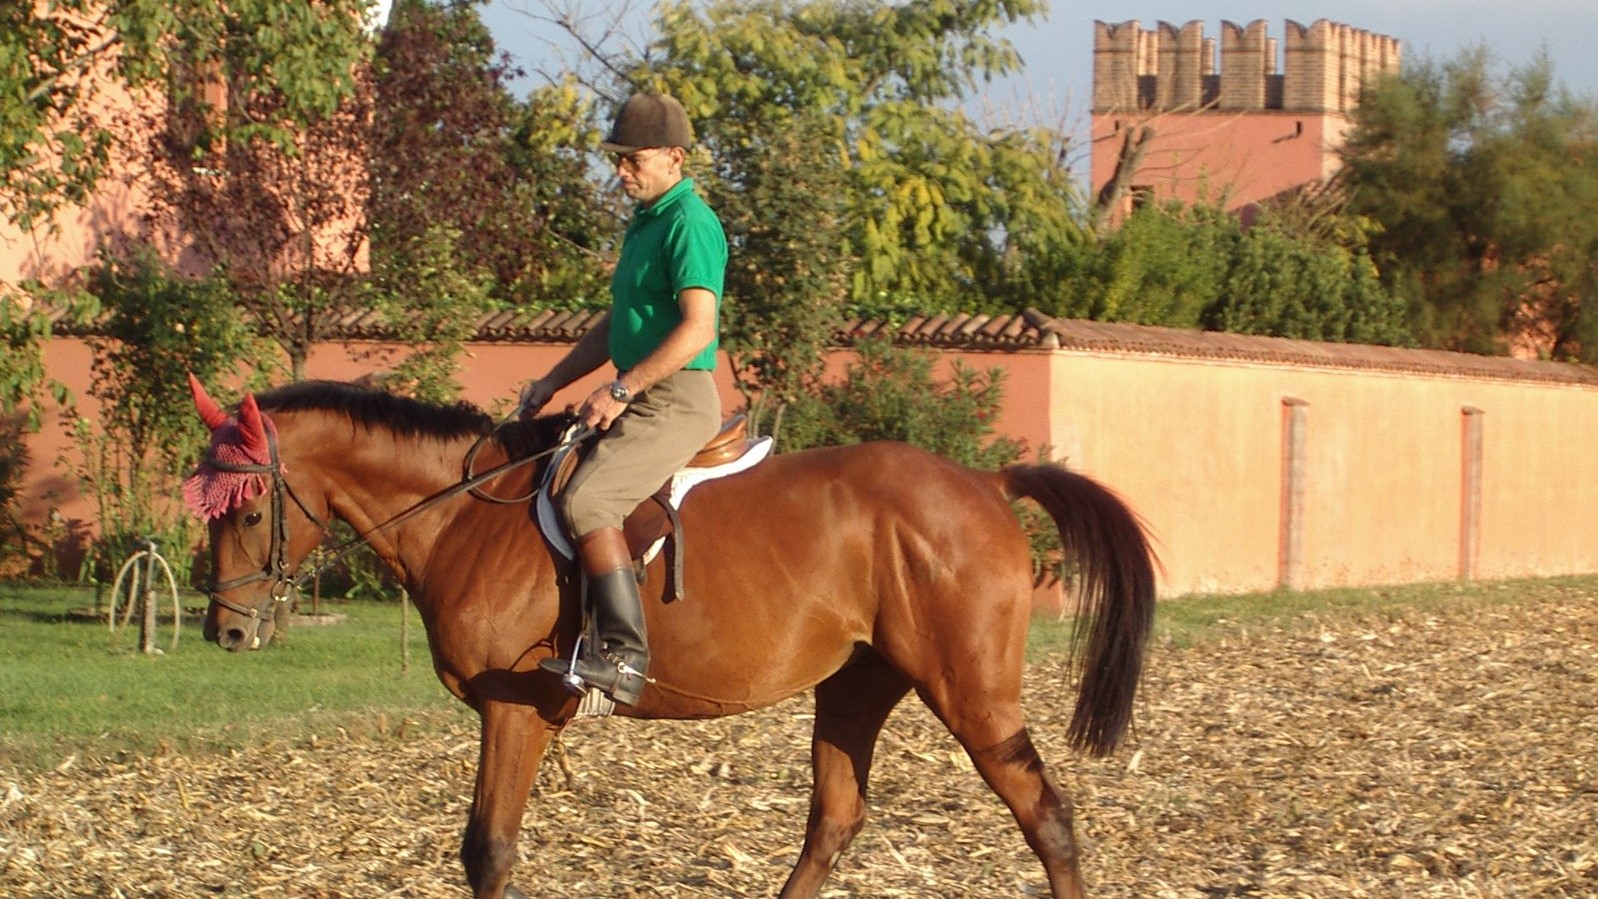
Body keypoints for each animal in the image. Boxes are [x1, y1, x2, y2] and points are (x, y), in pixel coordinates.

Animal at [186, 377, 1157, 899]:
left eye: (249, 506)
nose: (224, 629)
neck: (466, 514)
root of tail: (984, 483)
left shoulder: (515, 709)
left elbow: (487, 849)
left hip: (970, 690)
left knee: (1045, 815)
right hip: (857, 681)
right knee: (834, 817)